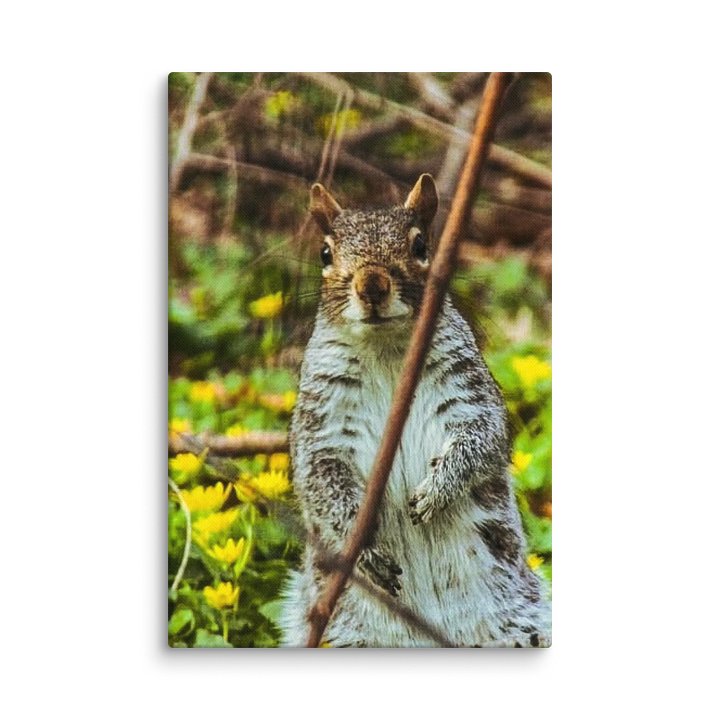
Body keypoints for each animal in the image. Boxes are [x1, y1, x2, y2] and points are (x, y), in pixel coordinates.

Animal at [279, 174, 550, 647]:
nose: (372, 285)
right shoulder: (321, 421)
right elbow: (320, 476)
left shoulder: (469, 393)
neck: (386, 348)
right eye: (325, 253)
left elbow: (483, 439)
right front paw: (363, 547)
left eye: (421, 245)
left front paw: (435, 492)